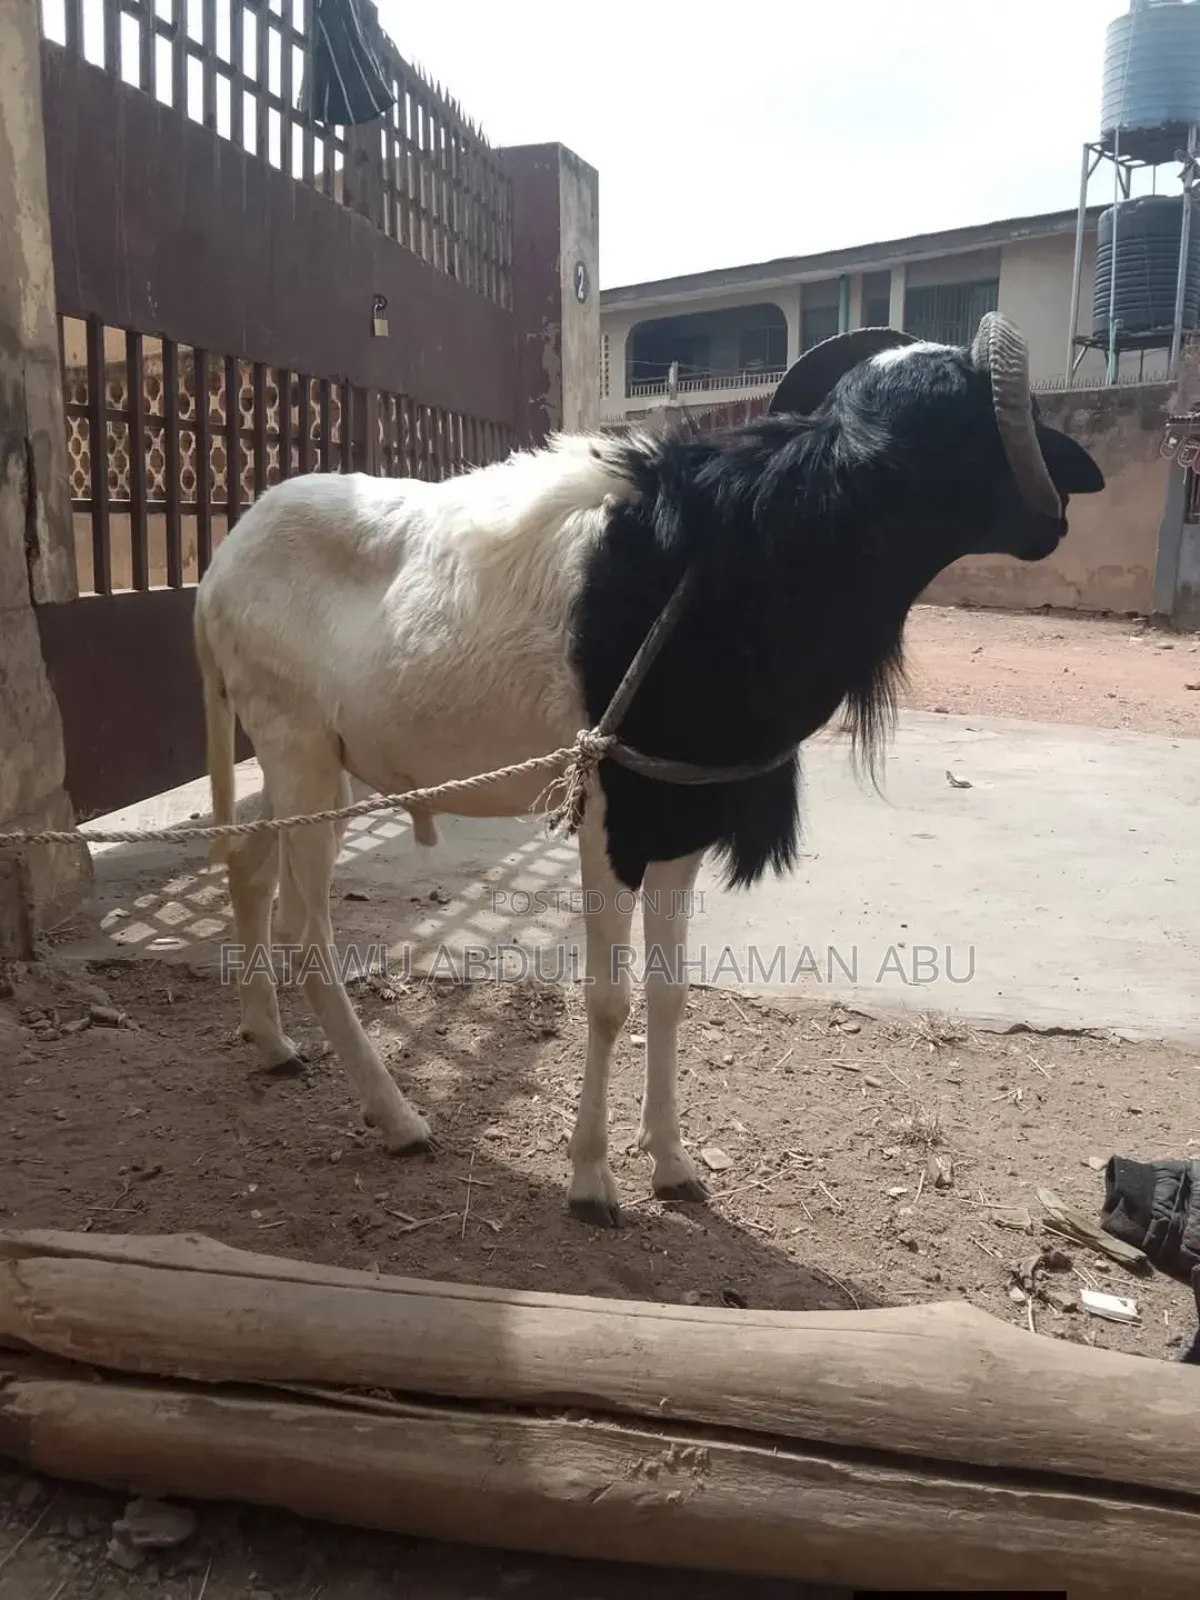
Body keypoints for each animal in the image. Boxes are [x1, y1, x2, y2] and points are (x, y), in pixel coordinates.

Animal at [194, 311, 1104, 1228]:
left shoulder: (681, 822)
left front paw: (671, 1162)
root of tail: (216, 574)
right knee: (305, 931)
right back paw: (398, 1117)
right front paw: (592, 1179)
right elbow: (608, 1000)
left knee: (248, 861)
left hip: (307, 764)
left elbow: (669, 995)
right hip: (297, 748)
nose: (1060, 518)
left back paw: (271, 1041)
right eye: (973, 434)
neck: (734, 565)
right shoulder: (613, 815)